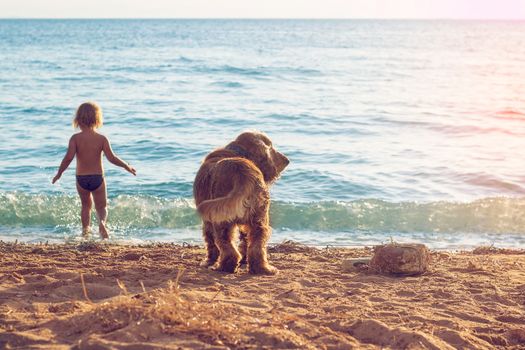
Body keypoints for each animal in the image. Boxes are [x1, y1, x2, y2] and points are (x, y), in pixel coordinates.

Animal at [193, 131, 288, 274]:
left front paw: (209, 261)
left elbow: (210, 243)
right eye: (271, 147)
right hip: (259, 219)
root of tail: (243, 172)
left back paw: (223, 267)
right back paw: (261, 268)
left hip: (221, 220)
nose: (287, 160)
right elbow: (244, 242)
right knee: (257, 246)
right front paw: (244, 260)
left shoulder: (207, 221)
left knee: (227, 247)